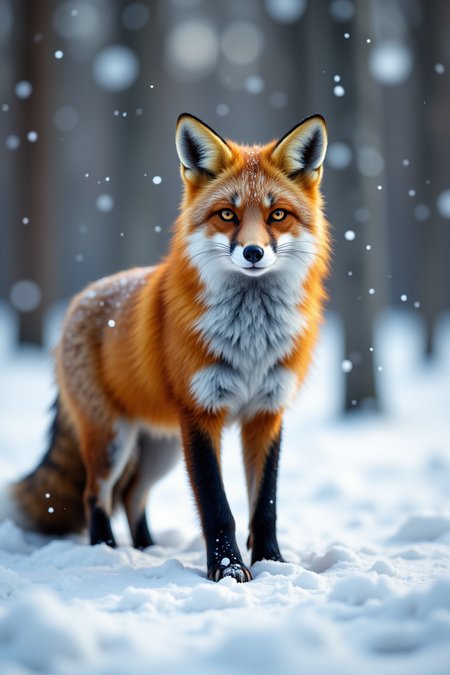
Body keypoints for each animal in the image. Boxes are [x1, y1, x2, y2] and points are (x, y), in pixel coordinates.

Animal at [5, 113, 330, 582]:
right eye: (227, 214)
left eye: (278, 215)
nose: (253, 252)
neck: (251, 341)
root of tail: (81, 299)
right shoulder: (200, 413)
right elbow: (217, 506)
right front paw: (228, 570)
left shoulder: (267, 413)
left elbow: (264, 505)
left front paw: (273, 562)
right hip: (112, 439)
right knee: (96, 495)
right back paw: (106, 550)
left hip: (160, 448)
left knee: (132, 495)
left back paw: (147, 547)